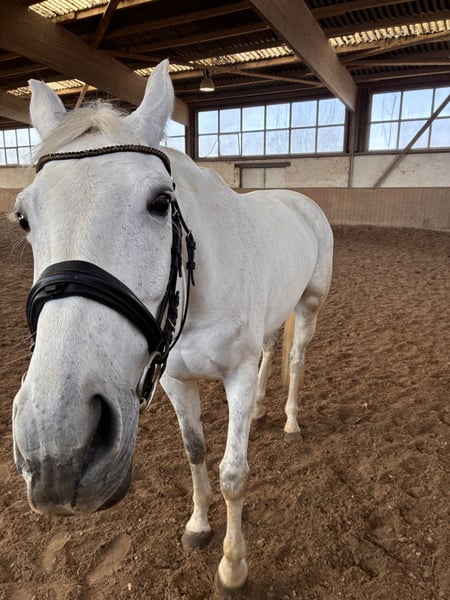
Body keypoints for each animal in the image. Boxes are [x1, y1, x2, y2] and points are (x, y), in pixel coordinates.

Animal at [11, 60, 333, 596]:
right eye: (22, 218)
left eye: (162, 202)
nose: (57, 446)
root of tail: (299, 202)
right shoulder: (175, 379)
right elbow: (194, 450)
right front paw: (199, 526)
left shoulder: (236, 375)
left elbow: (233, 473)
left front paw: (233, 566)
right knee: (272, 352)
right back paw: (262, 411)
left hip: (309, 304)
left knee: (295, 357)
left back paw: (289, 421)